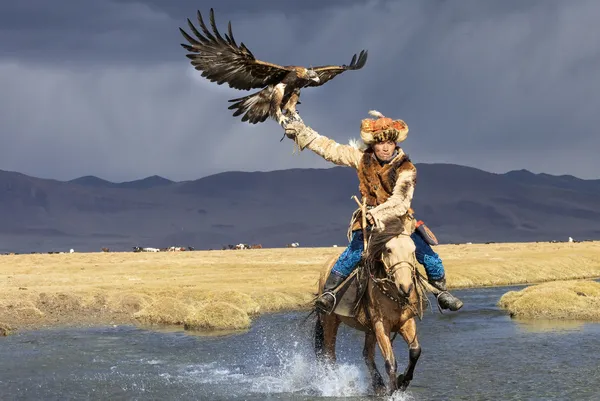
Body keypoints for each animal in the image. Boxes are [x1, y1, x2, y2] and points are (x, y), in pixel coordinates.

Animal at [312, 216, 424, 394]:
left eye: (413, 250)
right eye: (388, 250)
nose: (405, 287)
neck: (393, 294)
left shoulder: (406, 322)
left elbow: (415, 351)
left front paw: (402, 382)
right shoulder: (381, 326)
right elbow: (390, 362)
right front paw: (394, 392)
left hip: (368, 330)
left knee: (367, 354)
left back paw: (378, 385)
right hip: (330, 321)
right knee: (329, 353)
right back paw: (337, 385)